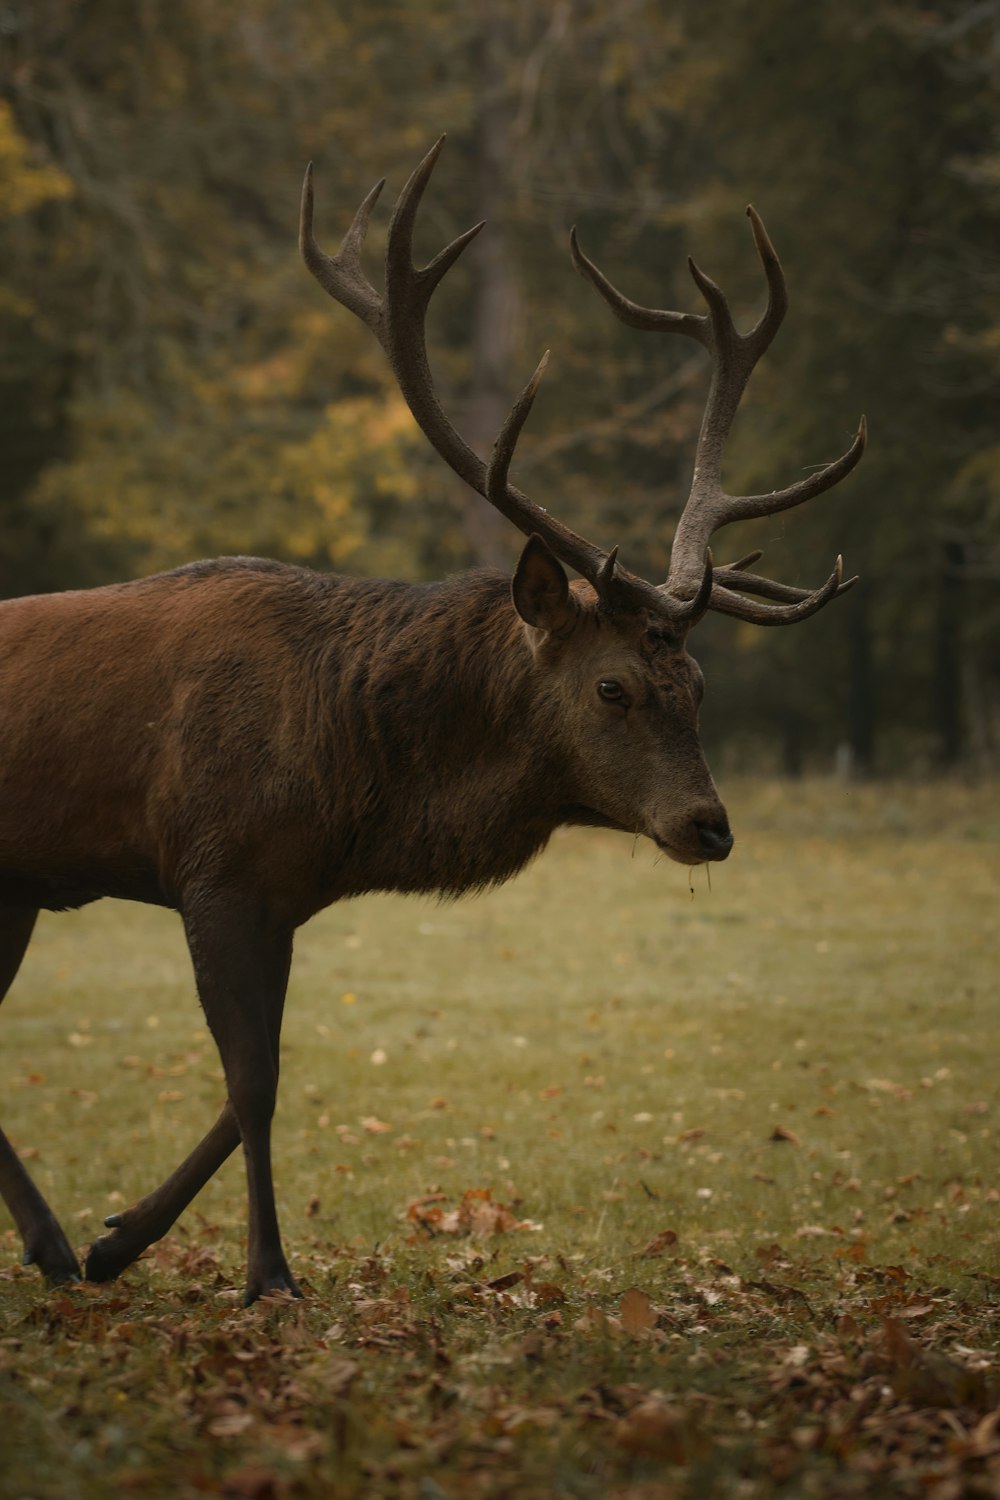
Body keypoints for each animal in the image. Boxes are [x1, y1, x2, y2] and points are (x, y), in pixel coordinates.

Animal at [0, 138, 863, 1302]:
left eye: (697, 685)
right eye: (612, 687)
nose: (710, 826)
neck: (348, 792)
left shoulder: (281, 895)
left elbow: (250, 1081)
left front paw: (116, 1239)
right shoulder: (213, 870)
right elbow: (255, 1081)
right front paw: (267, 1274)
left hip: (15, 886)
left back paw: (51, 1247)